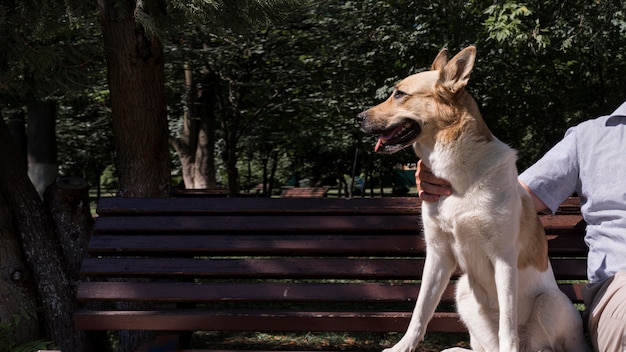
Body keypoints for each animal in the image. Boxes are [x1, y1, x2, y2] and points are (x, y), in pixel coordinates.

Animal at [356, 46, 584, 352]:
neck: (455, 173)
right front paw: (402, 347)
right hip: (462, 289)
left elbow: (507, 325)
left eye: (400, 94)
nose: (358, 118)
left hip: (551, 302)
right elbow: (420, 310)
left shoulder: (503, 258)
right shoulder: (438, 254)